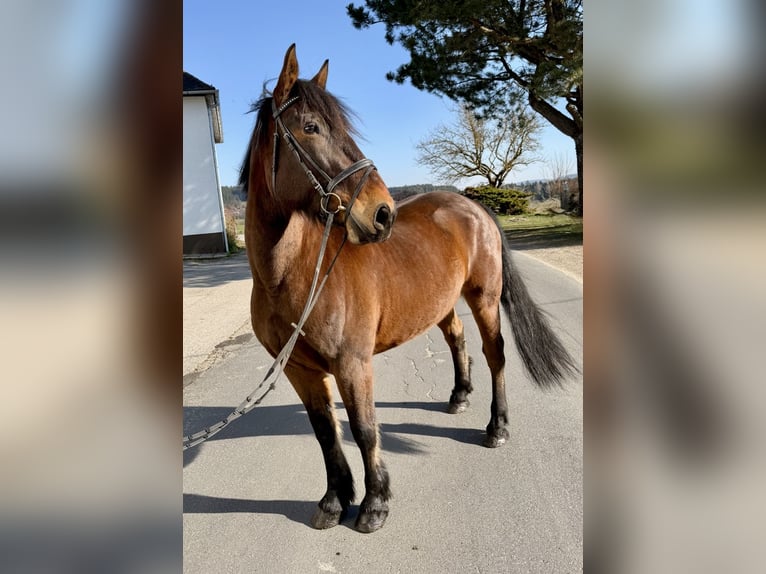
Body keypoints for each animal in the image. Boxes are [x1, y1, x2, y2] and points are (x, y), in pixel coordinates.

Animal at [240, 44, 576, 533]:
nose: (382, 213)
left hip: (484, 299)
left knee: (495, 355)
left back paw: (497, 427)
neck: (296, 274)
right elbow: (325, 433)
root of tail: (473, 206)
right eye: (311, 127)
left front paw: (375, 503)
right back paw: (459, 396)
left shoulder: (352, 364)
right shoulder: (300, 370)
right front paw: (333, 501)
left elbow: (364, 429)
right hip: (442, 304)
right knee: (457, 339)